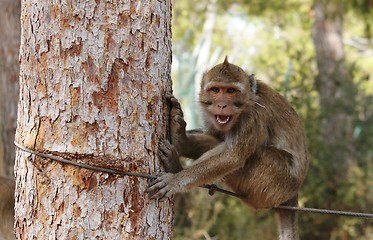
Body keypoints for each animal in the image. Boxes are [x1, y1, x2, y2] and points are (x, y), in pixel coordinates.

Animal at [147, 57, 306, 239]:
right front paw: (181, 139)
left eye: (231, 91)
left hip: (274, 181)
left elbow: (233, 157)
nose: (222, 105)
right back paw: (180, 142)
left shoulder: (254, 116)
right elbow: (215, 136)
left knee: (254, 154)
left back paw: (175, 167)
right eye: (215, 90)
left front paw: (175, 180)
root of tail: (293, 194)